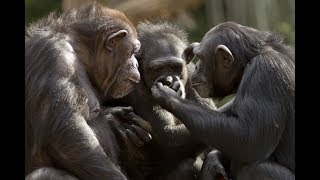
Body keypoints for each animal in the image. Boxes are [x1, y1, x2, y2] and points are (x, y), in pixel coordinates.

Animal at [24, 3, 152, 180]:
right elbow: (68, 134)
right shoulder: (55, 57)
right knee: (46, 173)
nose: (135, 64)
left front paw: (117, 120)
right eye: (133, 51)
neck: (80, 51)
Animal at [151, 21, 294, 179]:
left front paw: (168, 94)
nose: (196, 67)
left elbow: (249, 136)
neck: (249, 61)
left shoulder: (265, 71)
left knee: (255, 169)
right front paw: (213, 162)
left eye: (201, 57)